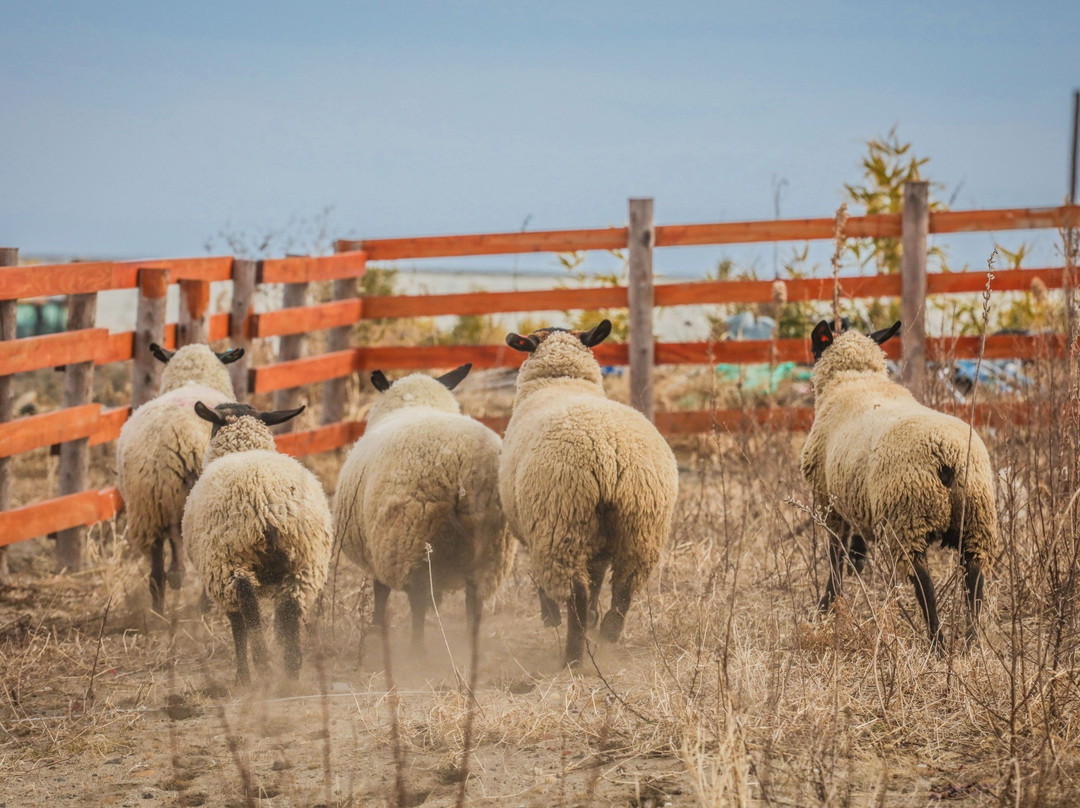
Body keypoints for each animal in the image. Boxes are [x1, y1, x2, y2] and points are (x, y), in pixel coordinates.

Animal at [115, 343, 243, 613]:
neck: (192, 379)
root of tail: (178, 436)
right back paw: (202, 601)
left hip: (148, 505)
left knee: (156, 572)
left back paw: (160, 606)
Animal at [182, 402, 333, 683]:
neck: (246, 449)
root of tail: (267, 505)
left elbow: (237, 626)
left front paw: (243, 675)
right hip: (305, 564)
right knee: (291, 610)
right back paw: (291, 670)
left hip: (228, 560)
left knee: (248, 605)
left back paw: (263, 665)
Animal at [333, 364, 512, 650]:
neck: (417, 402)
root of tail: (460, 466)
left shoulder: (379, 545)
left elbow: (380, 589)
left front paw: (375, 628)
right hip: (492, 549)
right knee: (473, 599)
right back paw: (470, 645)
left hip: (410, 537)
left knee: (417, 597)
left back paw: (418, 649)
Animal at [500, 320, 680, 665]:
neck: (562, 381)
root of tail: (609, 454)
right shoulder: (600, 541)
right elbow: (597, 578)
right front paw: (596, 617)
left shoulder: (531, 528)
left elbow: (542, 576)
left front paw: (549, 615)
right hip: (641, 525)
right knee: (624, 585)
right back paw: (607, 632)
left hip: (561, 522)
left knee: (576, 592)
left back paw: (573, 655)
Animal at [801, 319, 999, 649]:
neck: (855, 380)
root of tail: (946, 453)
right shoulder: (857, 501)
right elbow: (854, 550)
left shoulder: (831, 505)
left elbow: (835, 557)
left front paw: (827, 606)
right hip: (976, 519)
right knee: (975, 582)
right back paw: (972, 643)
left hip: (907, 519)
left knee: (925, 587)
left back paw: (937, 645)